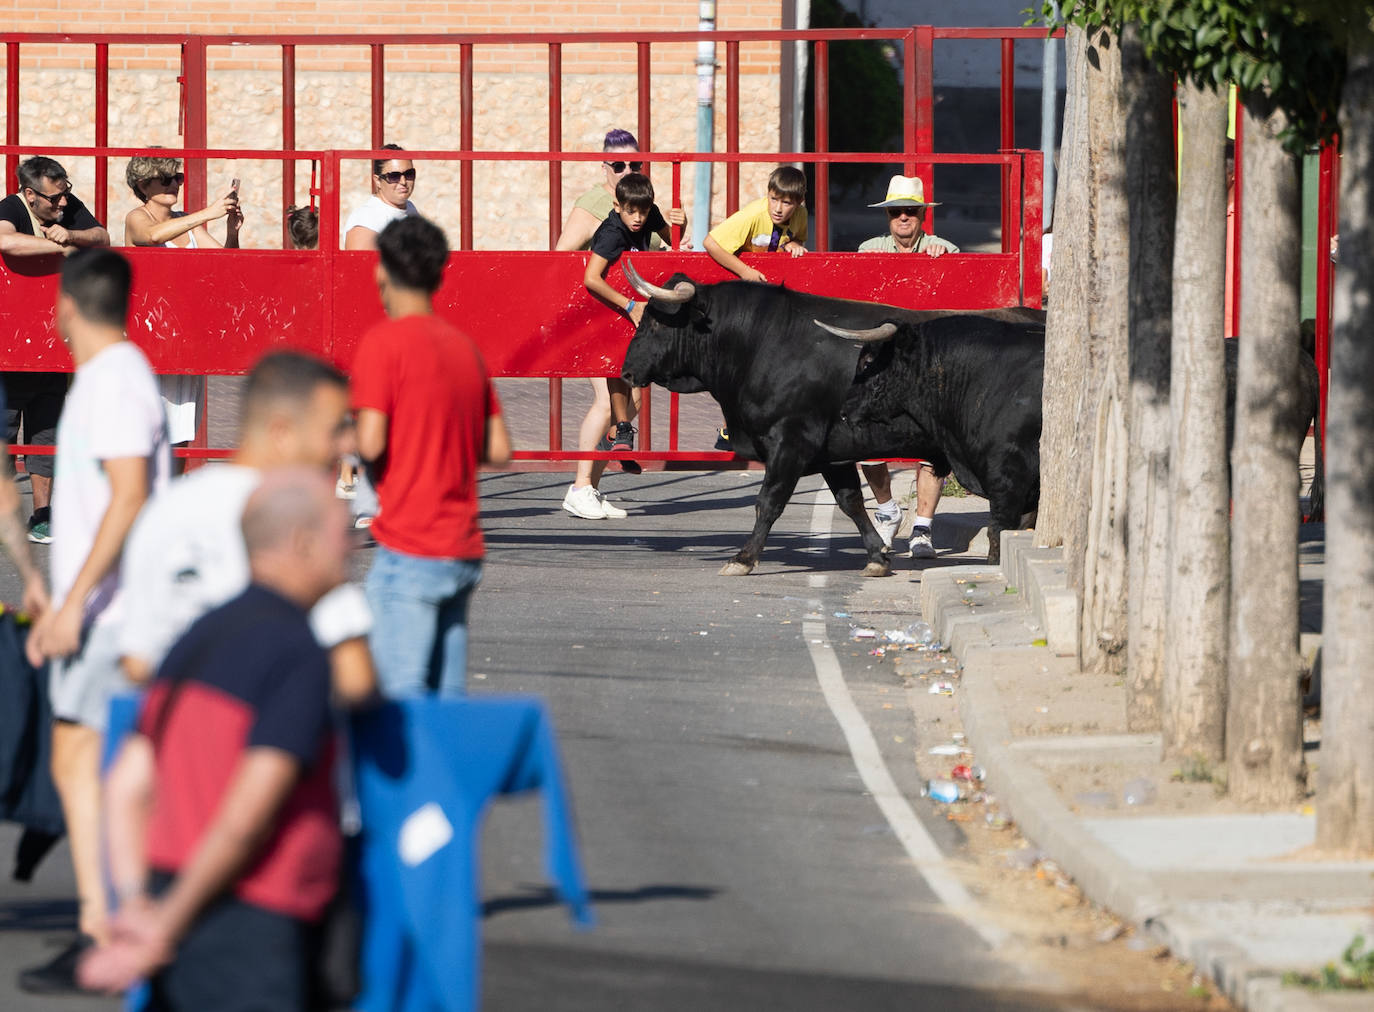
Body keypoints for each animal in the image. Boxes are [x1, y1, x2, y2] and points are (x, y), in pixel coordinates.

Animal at [618, 262, 1313, 576]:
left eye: (655, 321)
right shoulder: (829, 450)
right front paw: (878, 556)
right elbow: (851, 503)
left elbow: (769, 501)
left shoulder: (792, 442)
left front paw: (743, 557)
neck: (762, 342)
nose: (624, 368)